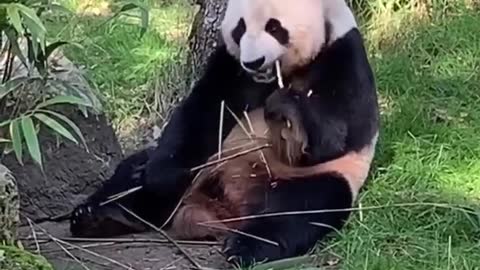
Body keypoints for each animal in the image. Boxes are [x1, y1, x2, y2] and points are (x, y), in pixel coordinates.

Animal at [70, 0, 378, 266]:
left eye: (274, 27)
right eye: (240, 28)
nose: (253, 62)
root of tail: (225, 211)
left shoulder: (344, 56)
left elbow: (341, 132)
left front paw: (286, 109)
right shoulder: (230, 63)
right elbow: (204, 108)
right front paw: (165, 177)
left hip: (313, 178)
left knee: (302, 208)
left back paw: (245, 247)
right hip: (206, 163)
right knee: (135, 176)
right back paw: (98, 216)